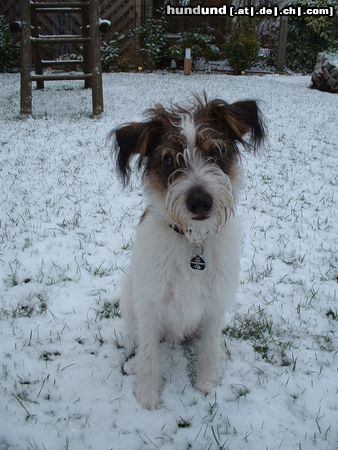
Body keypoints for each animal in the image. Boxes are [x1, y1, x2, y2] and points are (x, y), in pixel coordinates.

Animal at [112, 94, 266, 408]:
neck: (193, 240)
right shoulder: (149, 303)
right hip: (129, 293)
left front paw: (206, 383)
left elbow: (208, 346)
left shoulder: (216, 303)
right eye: (168, 159)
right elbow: (148, 353)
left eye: (215, 151)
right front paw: (147, 398)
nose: (200, 201)